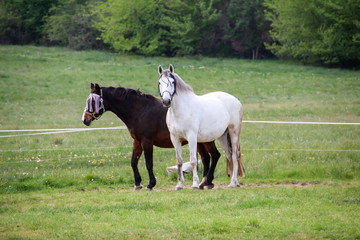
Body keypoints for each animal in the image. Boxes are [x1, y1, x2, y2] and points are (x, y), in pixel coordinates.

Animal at [82, 83, 221, 190]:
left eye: (93, 101)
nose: (85, 119)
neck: (140, 110)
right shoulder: (137, 141)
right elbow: (133, 161)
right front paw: (137, 184)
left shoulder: (146, 141)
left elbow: (149, 163)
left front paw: (151, 184)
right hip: (200, 141)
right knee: (206, 158)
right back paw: (204, 182)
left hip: (206, 140)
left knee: (215, 155)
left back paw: (207, 181)